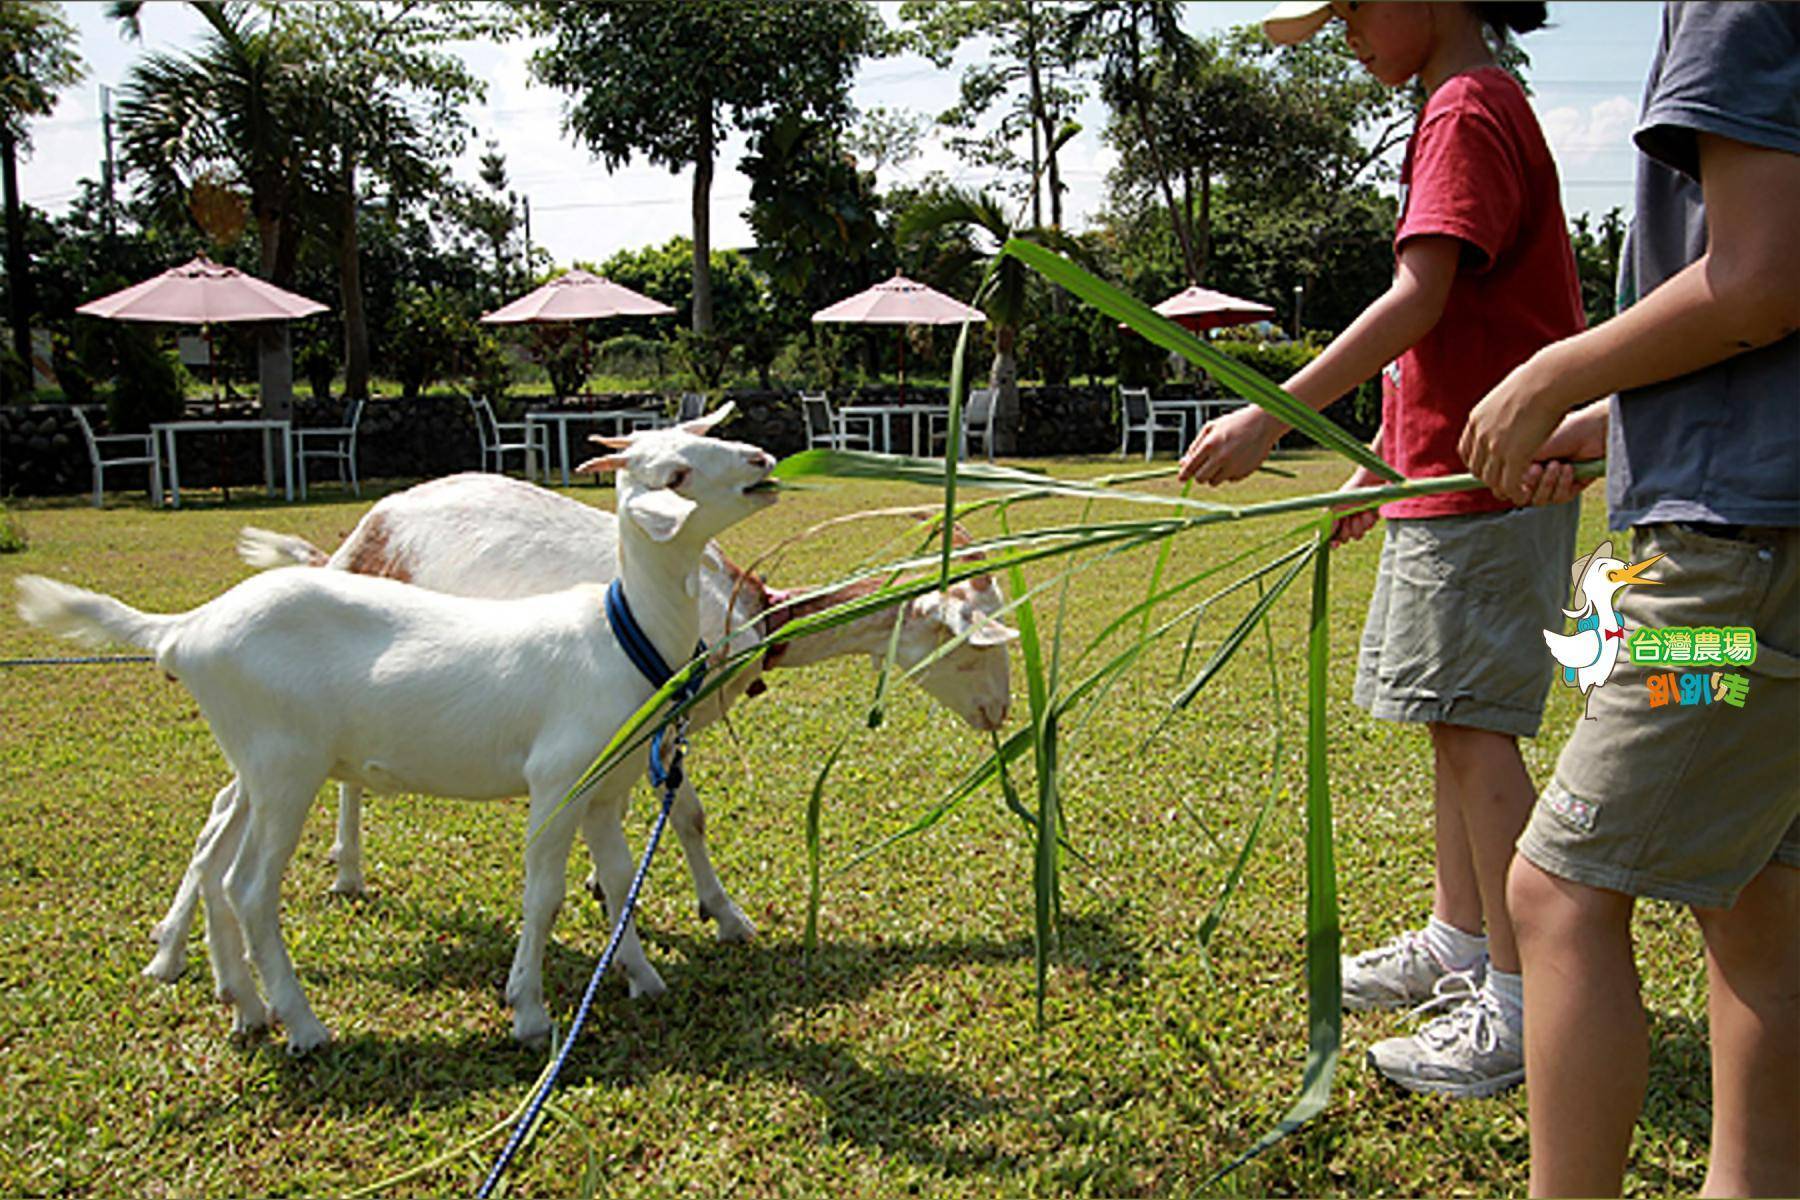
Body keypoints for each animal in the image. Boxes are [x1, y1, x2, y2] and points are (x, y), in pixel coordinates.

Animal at [15, 413, 774, 1050]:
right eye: (675, 475)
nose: (762, 458)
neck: (619, 634)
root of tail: (183, 629)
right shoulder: (556, 781)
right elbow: (544, 895)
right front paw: (529, 1012)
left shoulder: (605, 791)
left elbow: (620, 883)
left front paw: (642, 976)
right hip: (285, 769)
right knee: (249, 887)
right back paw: (302, 1024)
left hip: (261, 767)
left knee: (215, 855)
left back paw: (242, 1003)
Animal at [140, 467, 1015, 985]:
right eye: (975, 644)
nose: (1002, 713)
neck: (744, 611)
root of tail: (360, 536)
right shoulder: (661, 717)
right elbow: (689, 815)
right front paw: (724, 915)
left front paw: (611, 890)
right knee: (231, 807)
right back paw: (183, 948)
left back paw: (306, 890)